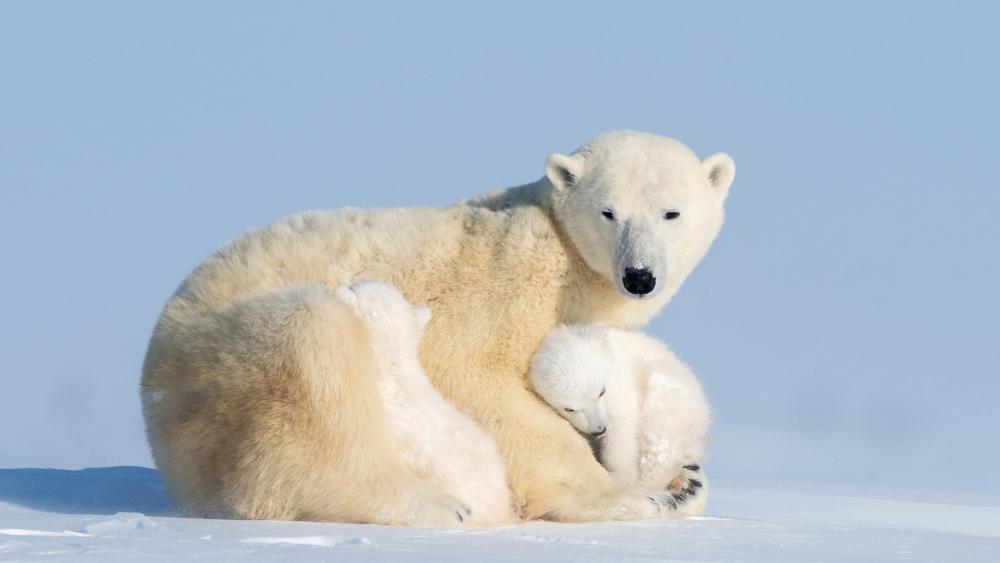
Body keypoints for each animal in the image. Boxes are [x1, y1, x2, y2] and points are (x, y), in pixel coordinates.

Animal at [529, 324, 711, 516]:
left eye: (601, 391)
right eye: (569, 408)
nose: (599, 429)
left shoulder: (622, 386)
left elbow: (622, 433)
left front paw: (620, 478)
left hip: (668, 401)